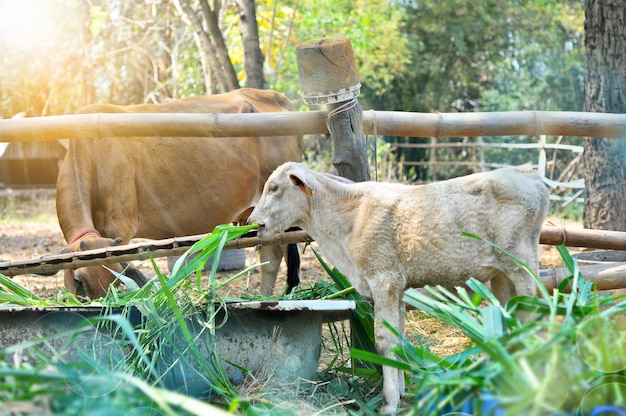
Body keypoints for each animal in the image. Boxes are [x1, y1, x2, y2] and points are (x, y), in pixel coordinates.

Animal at [56, 88, 302, 300]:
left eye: (117, 278)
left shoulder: (118, 227)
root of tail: (277, 97)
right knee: (270, 256)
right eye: (78, 280)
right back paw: (264, 297)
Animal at [246, 162, 548, 412]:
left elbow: (384, 339)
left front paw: (389, 402)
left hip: (522, 266)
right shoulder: (398, 287)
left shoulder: (385, 279)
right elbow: (399, 337)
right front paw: (402, 392)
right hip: (502, 277)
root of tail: (529, 174)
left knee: (536, 318)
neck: (347, 220)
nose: (251, 223)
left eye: (274, 188)